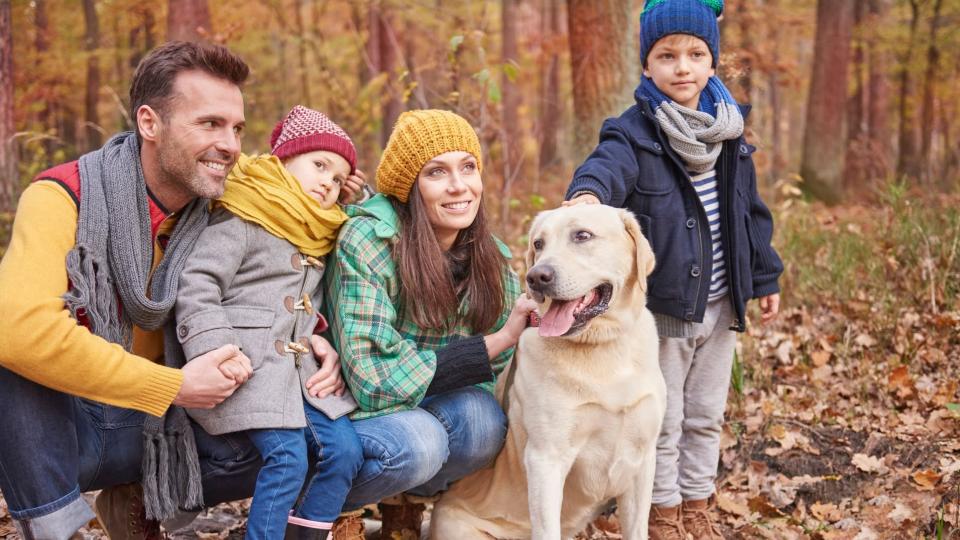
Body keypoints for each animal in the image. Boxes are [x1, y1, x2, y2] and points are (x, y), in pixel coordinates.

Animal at [430, 204, 664, 540]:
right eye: (538, 244)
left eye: (582, 236)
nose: (536, 277)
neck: (600, 347)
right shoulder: (546, 459)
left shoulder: (642, 461)